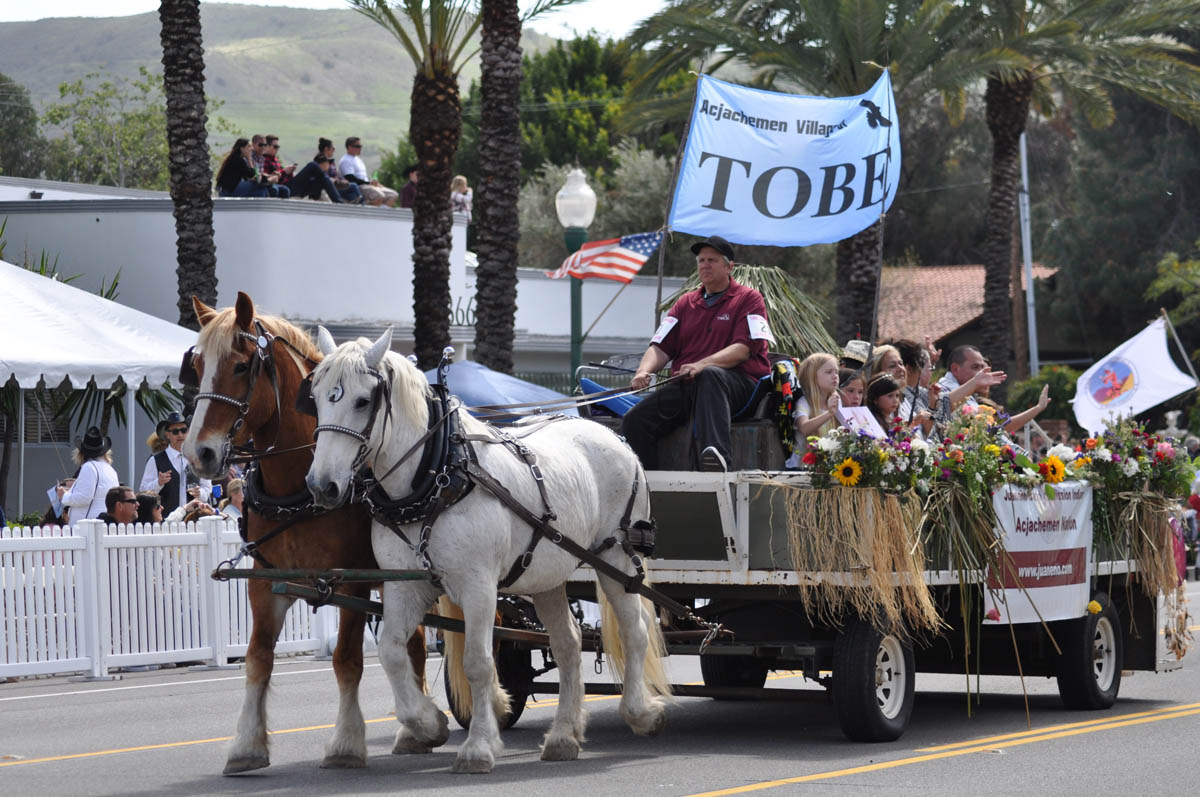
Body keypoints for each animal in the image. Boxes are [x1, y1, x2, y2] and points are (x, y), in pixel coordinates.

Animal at [184, 292, 429, 772]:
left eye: (241, 366)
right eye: (197, 366)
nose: (197, 453)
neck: (298, 488)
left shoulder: (350, 582)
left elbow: (347, 660)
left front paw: (346, 743)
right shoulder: (265, 582)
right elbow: (258, 658)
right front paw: (246, 745)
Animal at [304, 326, 672, 768]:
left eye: (362, 401)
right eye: (316, 397)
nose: (322, 486)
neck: (440, 474)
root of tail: (614, 436)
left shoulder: (478, 586)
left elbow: (478, 663)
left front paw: (479, 745)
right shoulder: (405, 584)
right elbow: (392, 652)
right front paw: (427, 724)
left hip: (615, 557)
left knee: (635, 630)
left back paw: (640, 712)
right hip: (547, 572)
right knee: (568, 643)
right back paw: (564, 735)